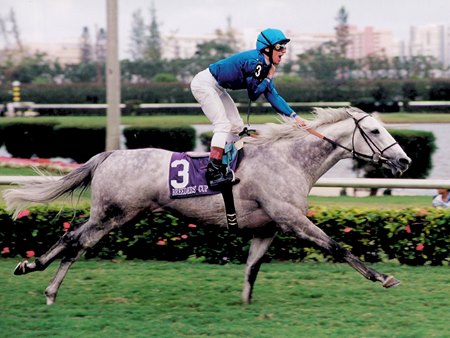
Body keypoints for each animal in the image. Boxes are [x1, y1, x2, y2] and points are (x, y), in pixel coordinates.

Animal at [3, 107, 412, 304]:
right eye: (374, 131)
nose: (404, 161)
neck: (291, 159)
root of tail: (109, 154)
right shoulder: (291, 218)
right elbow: (338, 247)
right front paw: (382, 277)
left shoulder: (267, 228)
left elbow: (251, 269)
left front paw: (245, 303)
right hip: (112, 213)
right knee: (72, 241)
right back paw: (33, 270)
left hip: (114, 216)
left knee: (77, 243)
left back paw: (46, 284)